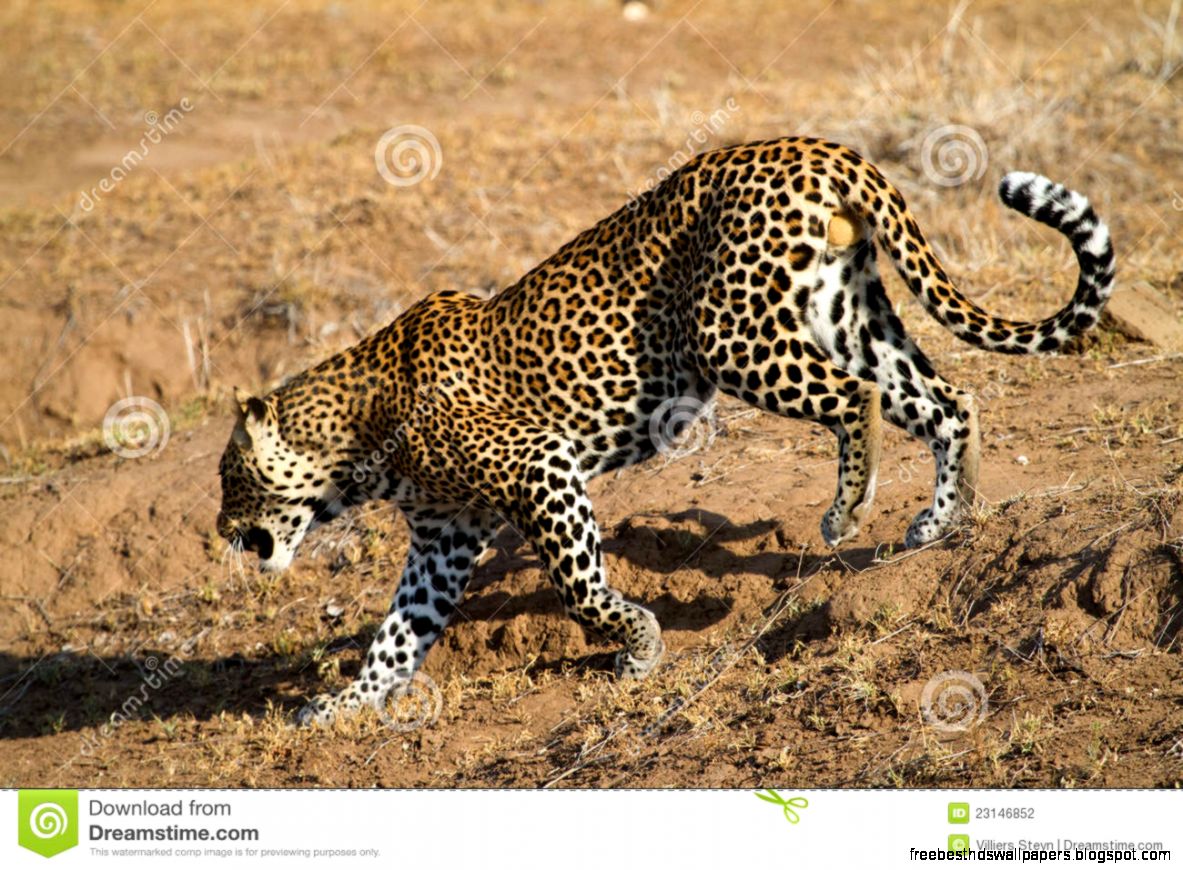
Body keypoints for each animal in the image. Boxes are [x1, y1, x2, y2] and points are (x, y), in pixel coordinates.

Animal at [216, 137, 1115, 726]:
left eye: (230, 481)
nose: (222, 532)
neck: (359, 447)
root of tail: (816, 146)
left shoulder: (539, 470)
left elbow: (578, 586)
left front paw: (638, 646)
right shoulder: (442, 536)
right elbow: (398, 636)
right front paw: (341, 706)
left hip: (736, 336)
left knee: (855, 396)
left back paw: (848, 510)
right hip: (846, 306)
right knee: (945, 397)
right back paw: (940, 521)